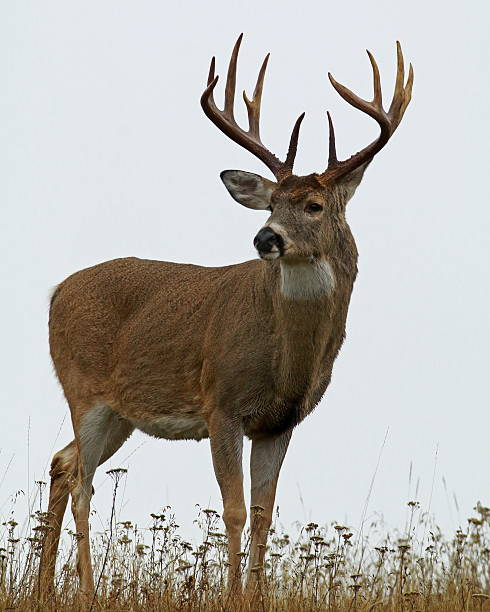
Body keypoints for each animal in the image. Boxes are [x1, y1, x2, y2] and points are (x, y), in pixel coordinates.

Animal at [39, 33, 414, 596]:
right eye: (271, 203)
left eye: (314, 206)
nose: (265, 238)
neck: (287, 362)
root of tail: (57, 291)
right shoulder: (222, 402)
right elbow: (233, 510)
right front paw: (235, 594)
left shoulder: (280, 422)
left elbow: (263, 513)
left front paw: (257, 594)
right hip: (84, 389)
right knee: (82, 480)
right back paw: (84, 590)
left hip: (121, 413)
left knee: (63, 463)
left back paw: (44, 584)